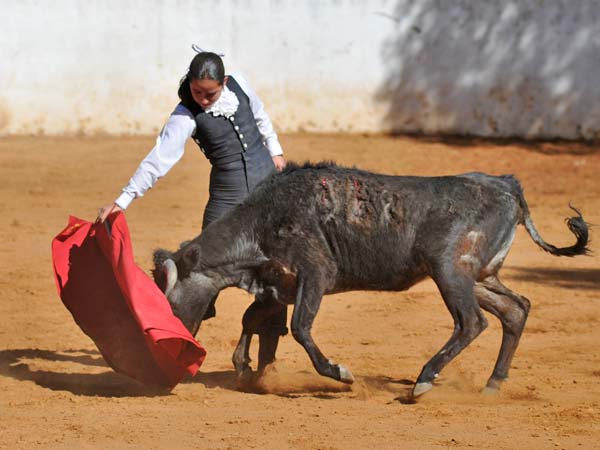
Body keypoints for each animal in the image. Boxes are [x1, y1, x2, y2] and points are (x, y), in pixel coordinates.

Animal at [152, 162, 589, 398]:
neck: (262, 222)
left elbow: (301, 328)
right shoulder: (278, 285)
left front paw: (341, 373)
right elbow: (253, 319)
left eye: (170, 300)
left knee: (471, 322)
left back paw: (424, 381)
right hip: (478, 277)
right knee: (515, 310)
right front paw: (244, 367)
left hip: (449, 270)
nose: (168, 346)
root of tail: (505, 184)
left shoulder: (316, 273)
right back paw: (492, 385)